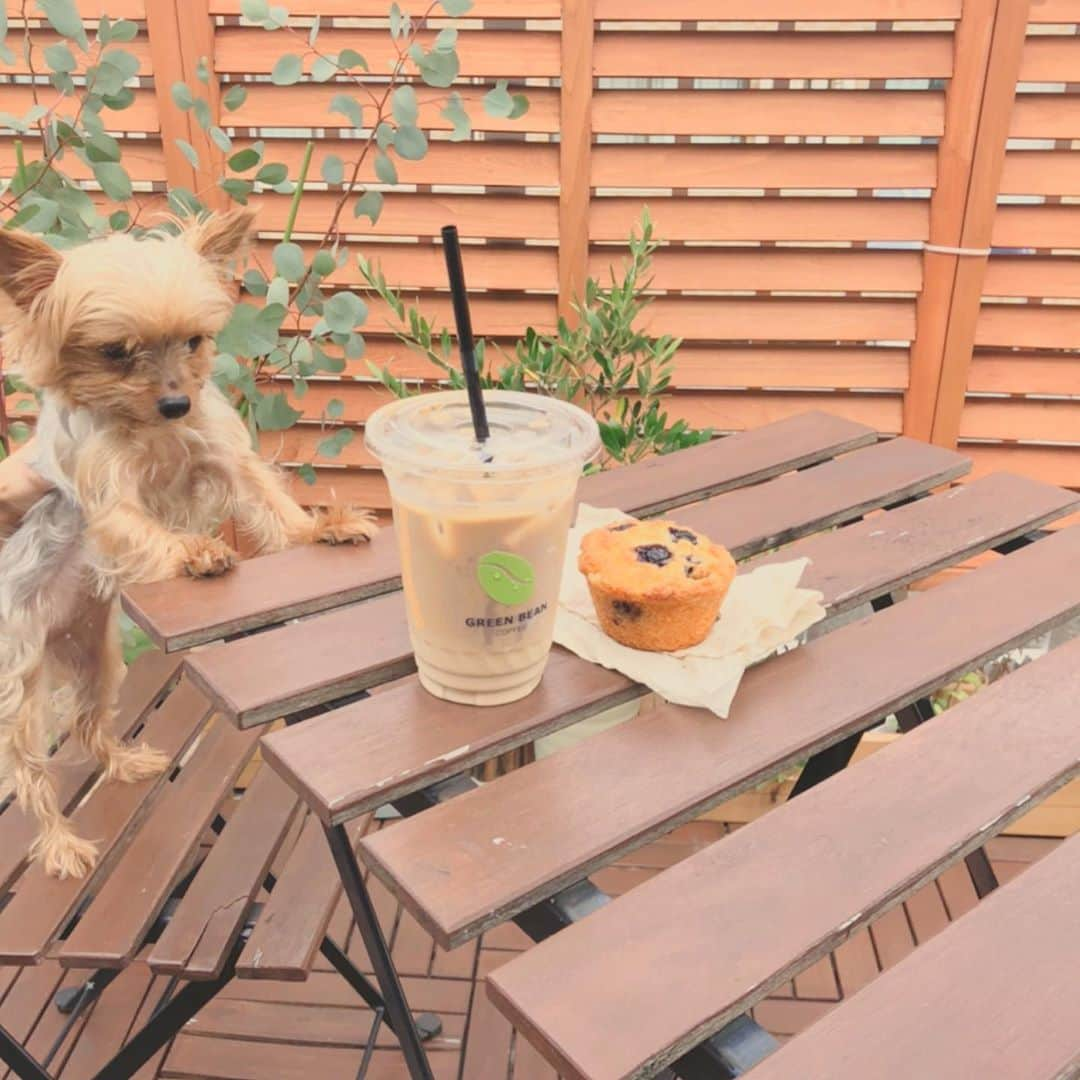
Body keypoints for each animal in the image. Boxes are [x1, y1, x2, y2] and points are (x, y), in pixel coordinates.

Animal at [0, 208, 375, 876]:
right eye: (115, 352)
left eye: (195, 342)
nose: (176, 400)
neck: (154, 431)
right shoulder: (109, 496)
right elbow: (142, 525)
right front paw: (195, 552)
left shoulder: (222, 454)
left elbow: (271, 501)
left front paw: (320, 528)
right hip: (19, 688)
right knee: (32, 775)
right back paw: (61, 844)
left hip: (96, 656)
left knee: (90, 723)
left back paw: (125, 763)